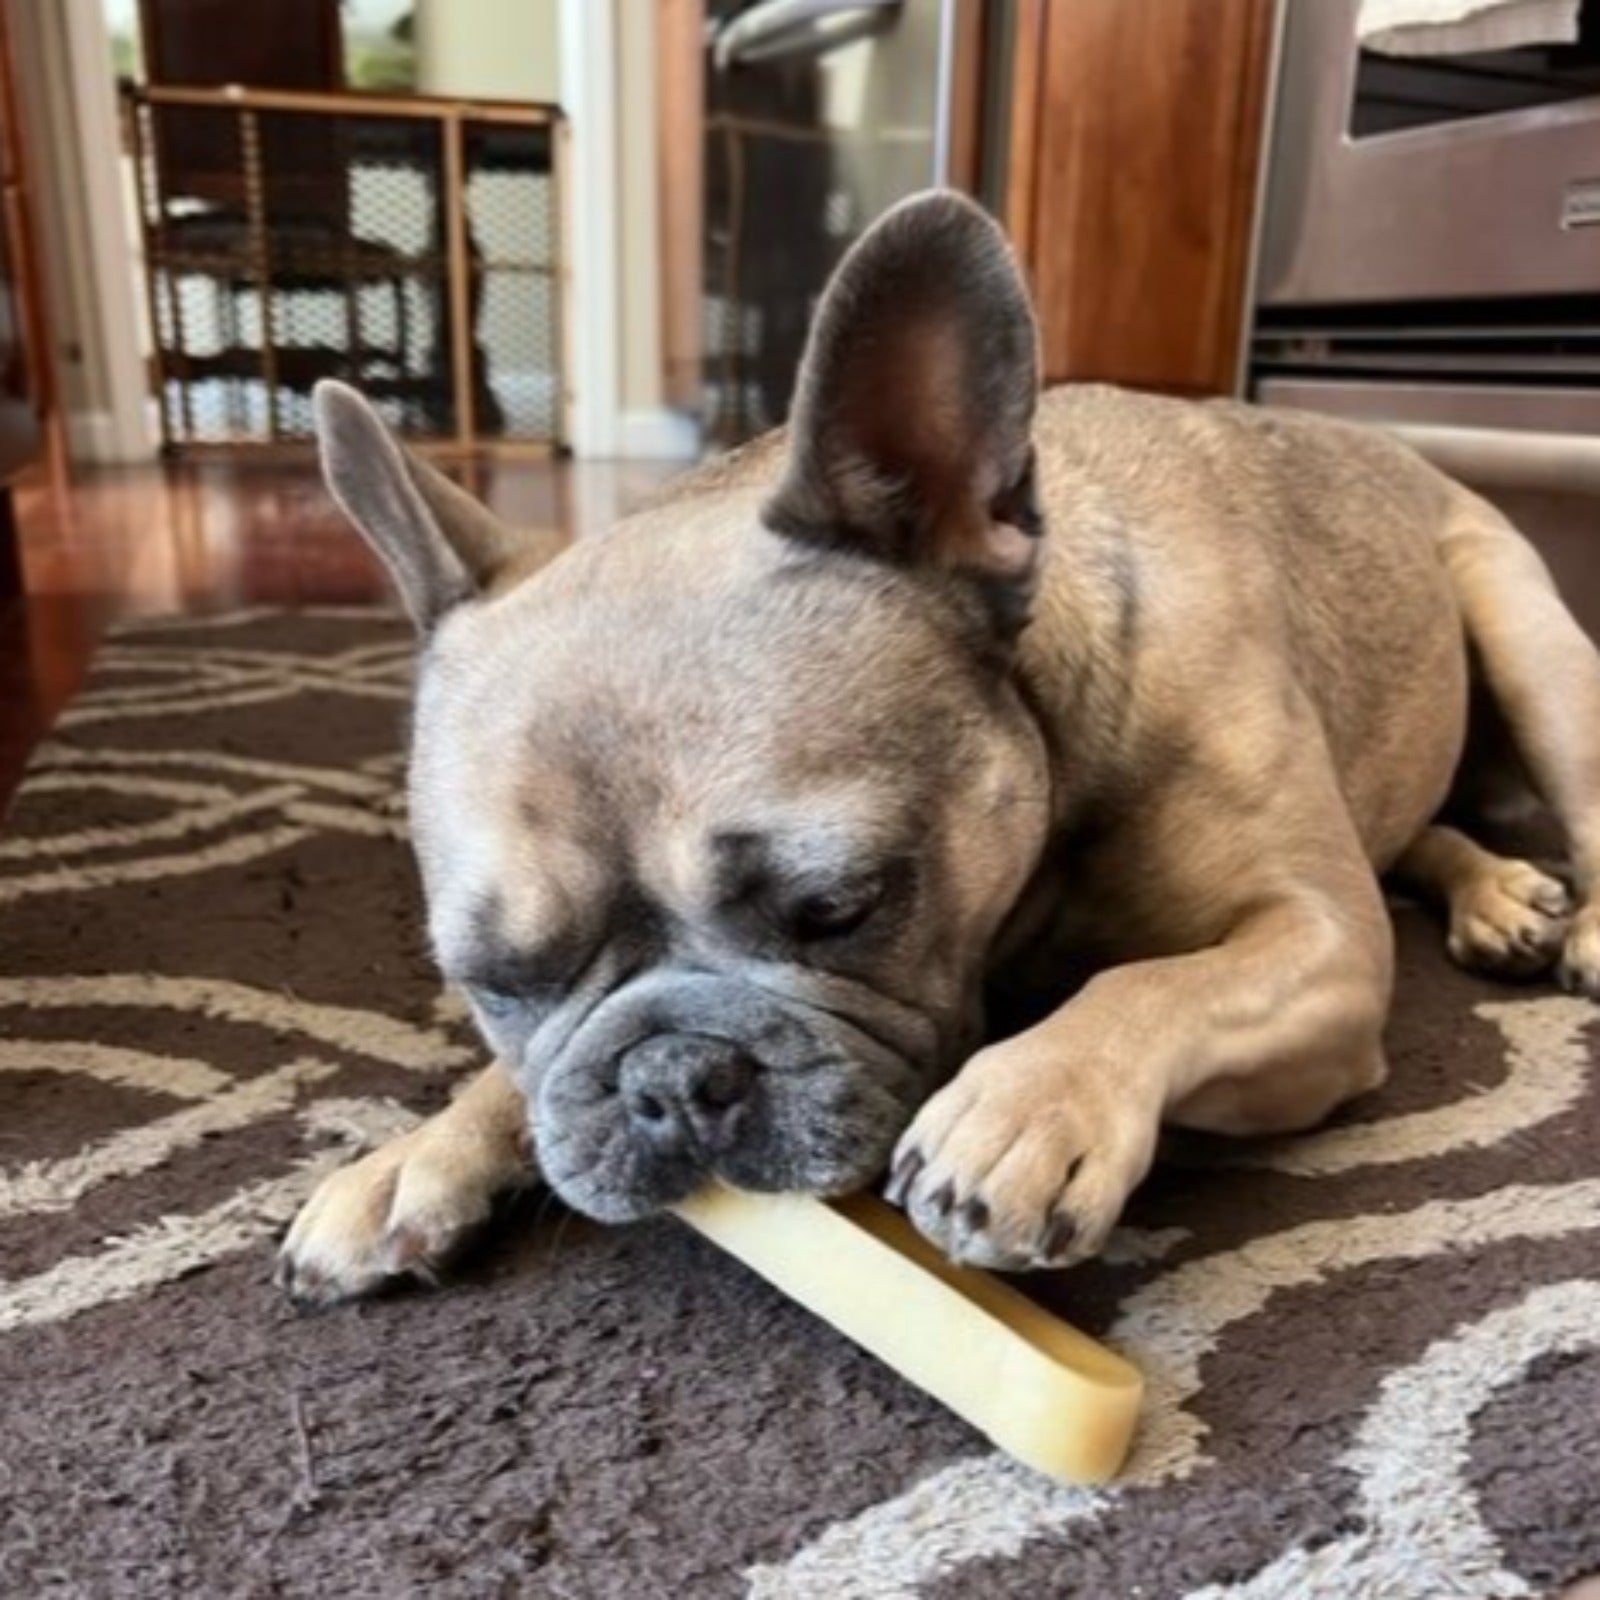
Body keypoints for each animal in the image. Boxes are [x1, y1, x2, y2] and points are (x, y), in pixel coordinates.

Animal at [277, 191, 1600, 1306]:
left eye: (837, 907)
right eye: (496, 979)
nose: (671, 1079)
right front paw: (419, 1151)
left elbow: (1155, 981)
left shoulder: (1320, 944)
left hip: (1524, 620)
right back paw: (1494, 892)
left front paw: (1028, 1104)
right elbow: (517, 1077)